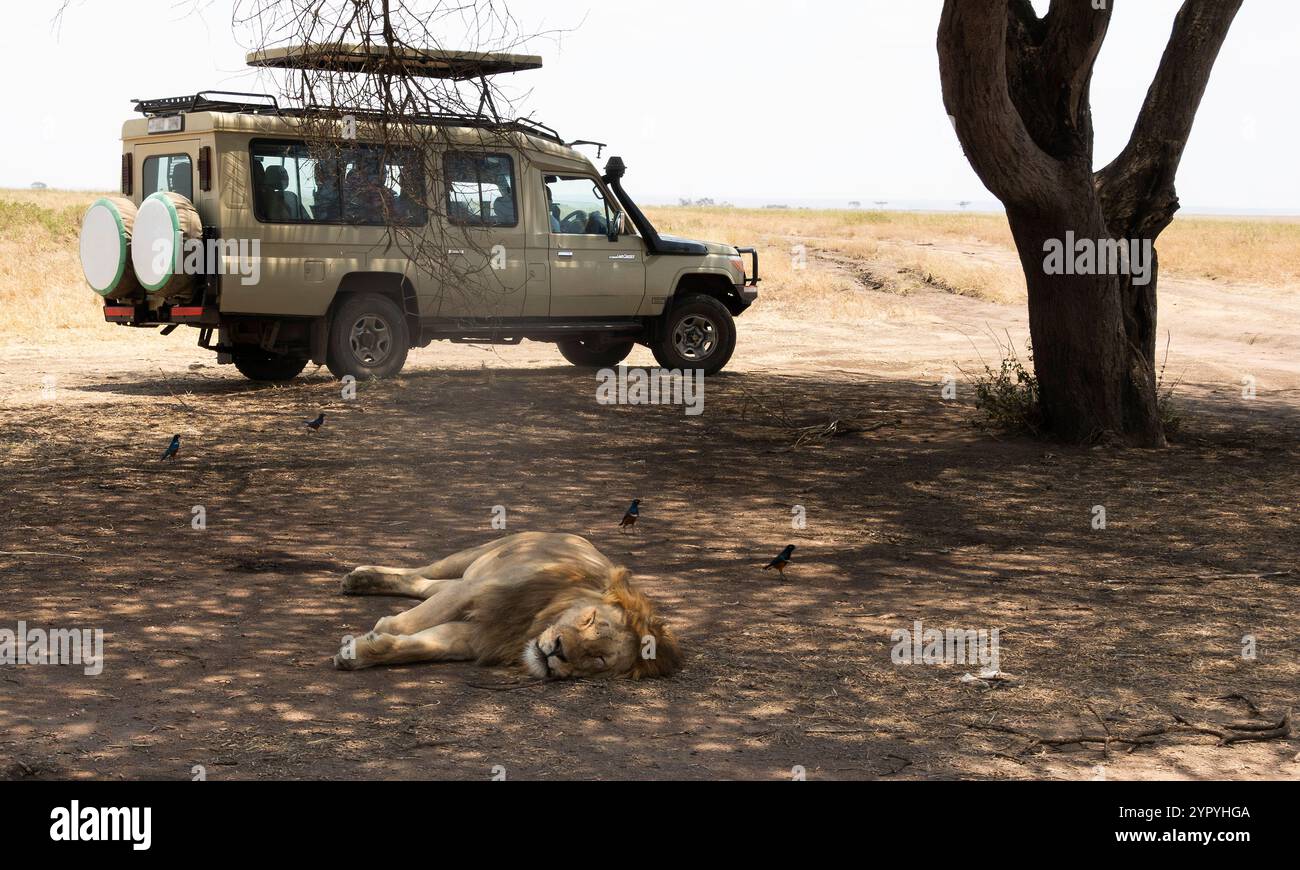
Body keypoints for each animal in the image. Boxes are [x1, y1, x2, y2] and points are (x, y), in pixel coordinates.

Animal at [332, 532, 681, 680]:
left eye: (598, 659)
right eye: (589, 620)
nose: (558, 651)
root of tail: (577, 536)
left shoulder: (476, 636)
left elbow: (419, 646)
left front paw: (360, 653)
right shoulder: (475, 591)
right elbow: (403, 623)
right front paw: (371, 635)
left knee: (423, 585)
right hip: (471, 558)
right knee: (421, 571)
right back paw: (359, 577)